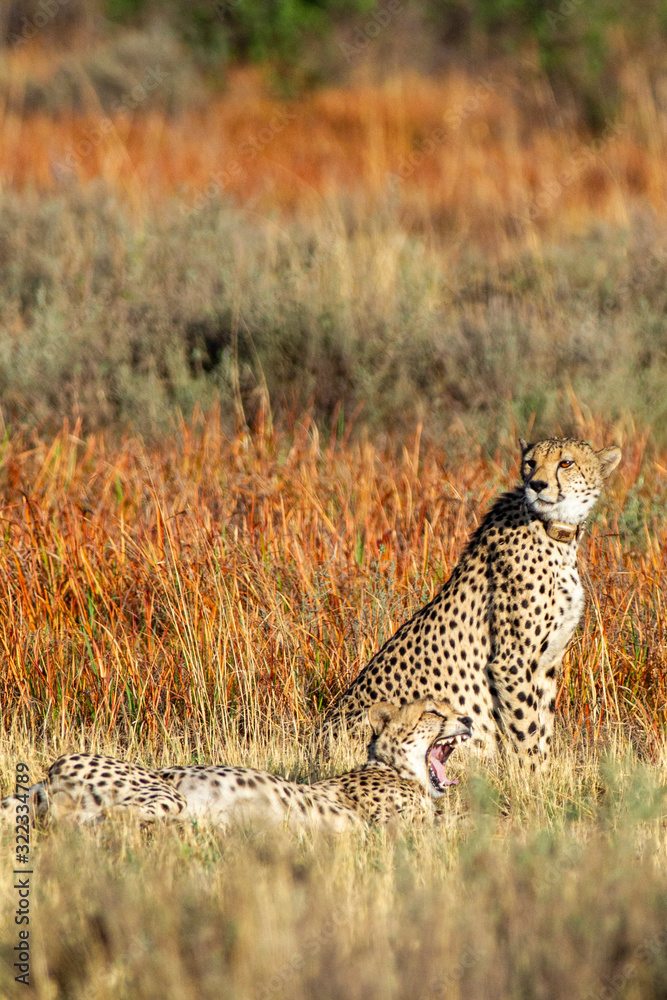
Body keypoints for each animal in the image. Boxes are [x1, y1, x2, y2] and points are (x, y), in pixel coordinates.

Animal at [0, 699, 472, 830]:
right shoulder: (390, 827)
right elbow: (450, 823)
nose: (467, 719)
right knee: (104, 819)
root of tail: (49, 771)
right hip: (164, 795)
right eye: (433, 711)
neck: (396, 769)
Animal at [324, 437, 621, 762]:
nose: (537, 485)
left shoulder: (547, 663)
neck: (555, 531)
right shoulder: (511, 663)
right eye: (530, 463)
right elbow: (527, 732)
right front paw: (531, 771)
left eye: (565, 463)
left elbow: (542, 728)